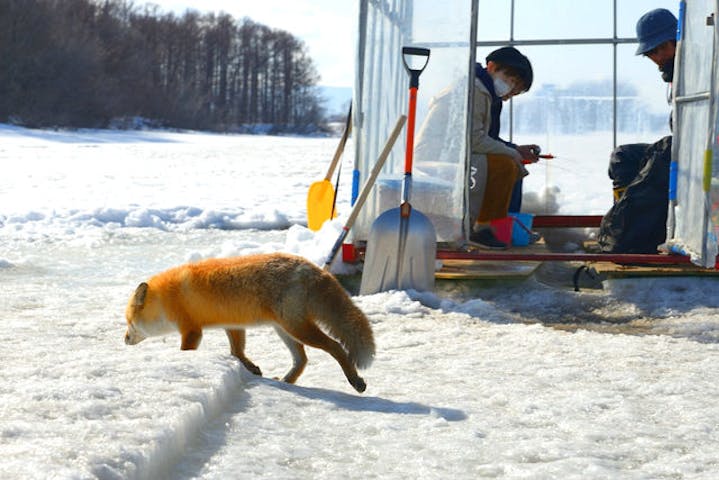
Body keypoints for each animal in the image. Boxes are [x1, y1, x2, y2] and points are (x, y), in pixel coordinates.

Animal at [124, 253, 376, 392]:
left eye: (129, 323)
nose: (124, 340)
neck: (167, 299)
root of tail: (311, 267)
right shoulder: (233, 325)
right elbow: (237, 352)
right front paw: (251, 368)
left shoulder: (192, 330)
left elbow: (190, 350)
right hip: (285, 330)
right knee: (302, 359)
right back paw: (286, 381)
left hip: (297, 328)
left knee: (335, 346)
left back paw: (355, 381)